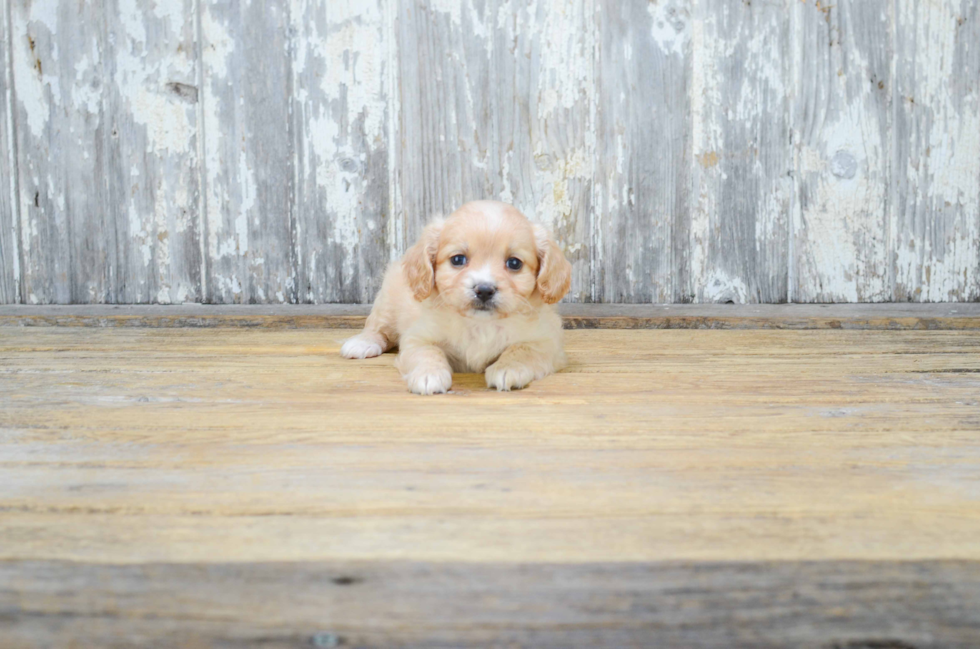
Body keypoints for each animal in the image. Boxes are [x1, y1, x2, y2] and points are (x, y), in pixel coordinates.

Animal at [344, 200, 576, 394]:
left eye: (514, 263)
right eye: (457, 259)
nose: (484, 289)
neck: (480, 324)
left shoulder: (546, 342)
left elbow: (521, 349)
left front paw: (508, 369)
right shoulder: (418, 337)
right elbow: (427, 352)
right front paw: (429, 375)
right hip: (388, 302)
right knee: (378, 327)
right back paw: (362, 344)